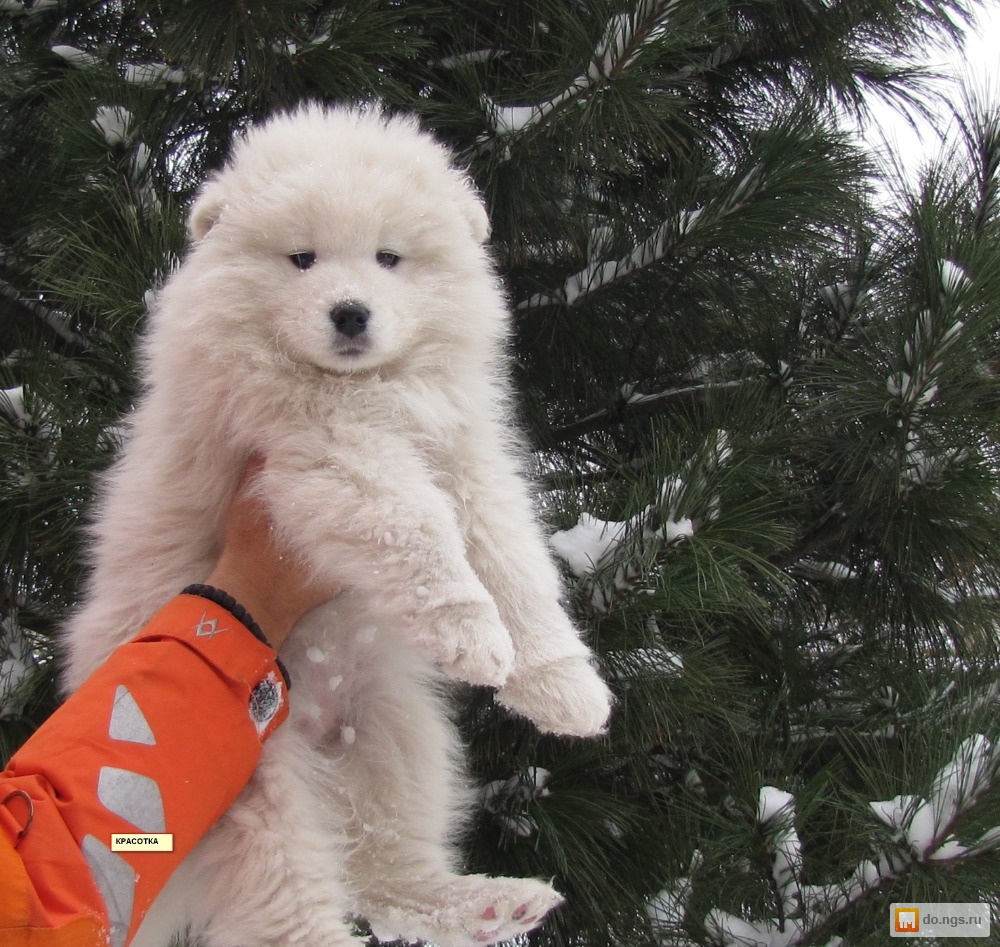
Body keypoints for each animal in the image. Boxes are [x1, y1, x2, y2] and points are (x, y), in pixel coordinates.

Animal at [64, 103, 608, 947]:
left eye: (389, 257)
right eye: (301, 259)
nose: (350, 311)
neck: (363, 388)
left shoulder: (466, 462)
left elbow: (514, 565)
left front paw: (565, 688)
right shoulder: (325, 455)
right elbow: (417, 527)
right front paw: (473, 634)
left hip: (398, 734)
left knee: (385, 870)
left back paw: (491, 902)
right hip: (249, 789)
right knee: (289, 906)